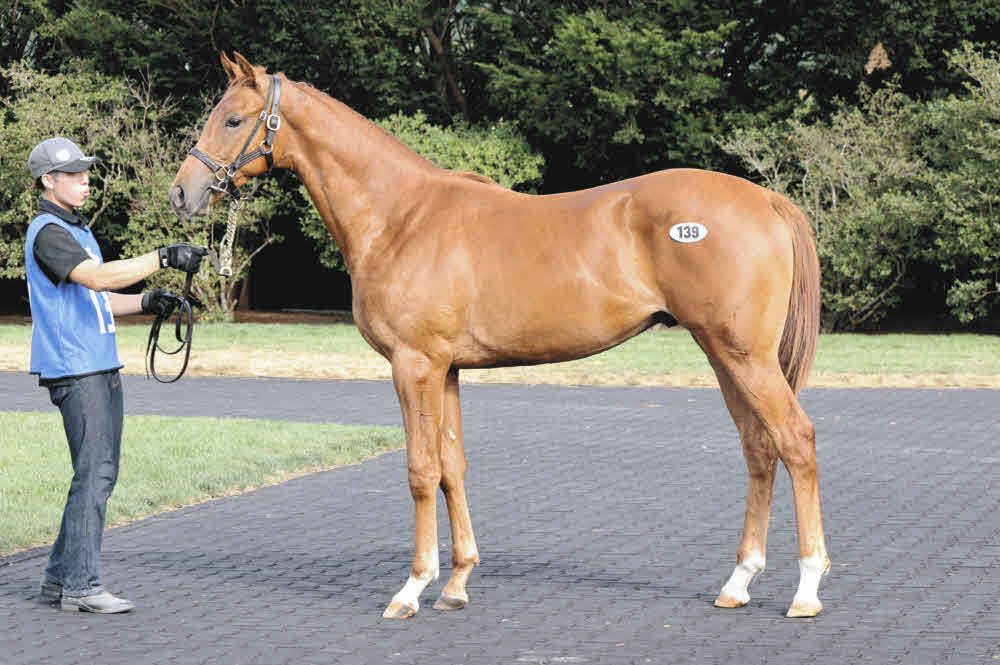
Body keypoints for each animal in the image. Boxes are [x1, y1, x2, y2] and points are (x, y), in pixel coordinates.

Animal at [170, 52, 830, 620]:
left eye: (233, 119)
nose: (182, 192)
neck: (401, 217)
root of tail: (765, 198)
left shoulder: (414, 365)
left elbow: (420, 469)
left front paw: (413, 587)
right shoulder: (447, 369)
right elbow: (452, 465)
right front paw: (457, 582)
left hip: (743, 355)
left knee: (795, 440)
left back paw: (806, 587)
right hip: (723, 355)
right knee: (758, 447)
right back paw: (739, 582)